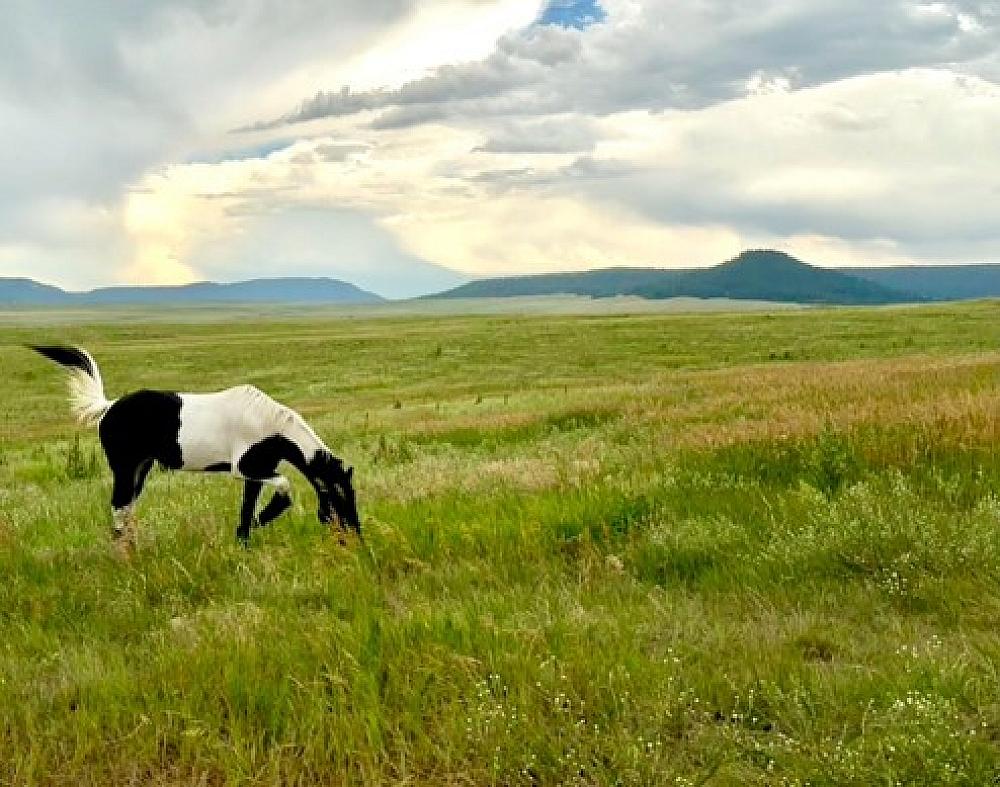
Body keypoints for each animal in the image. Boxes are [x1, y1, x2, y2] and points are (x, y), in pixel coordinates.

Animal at [31, 345, 360, 549]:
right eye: (340, 499)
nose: (354, 538)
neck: (268, 426)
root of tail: (108, 407)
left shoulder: (257, 473)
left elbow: (247, 510)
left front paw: (245, 539)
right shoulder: (243, 468)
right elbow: (284, 487)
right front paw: (262, 520)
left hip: (141, 469)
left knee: (126, 510)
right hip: (125, 468)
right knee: (119, 509)